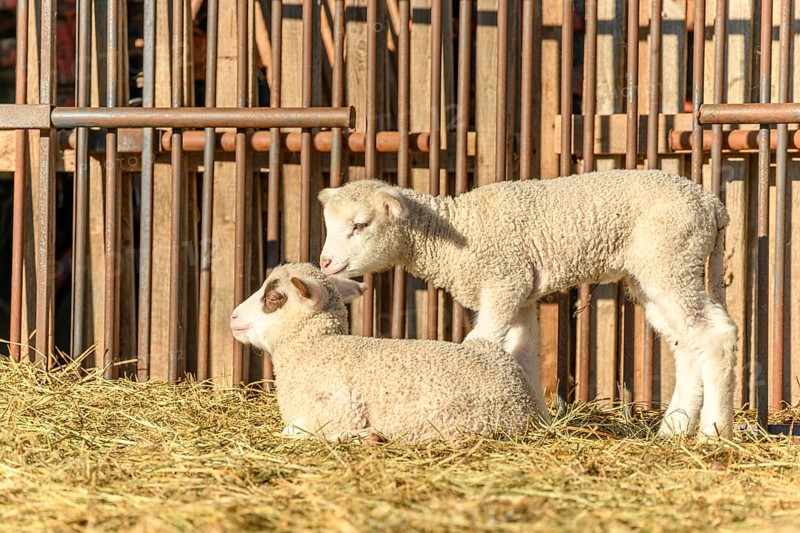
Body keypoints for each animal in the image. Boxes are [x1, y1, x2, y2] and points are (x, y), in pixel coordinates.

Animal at [229, 262, 541, 442]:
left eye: (273, 297)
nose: (233, 317)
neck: (315, 347)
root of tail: (526, 404)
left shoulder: (338, 410)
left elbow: (294, 431)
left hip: (439, 419)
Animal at [317, 169, 739, 439]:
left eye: (360, 225)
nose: (324, 262)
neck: (457, 233)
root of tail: (713, 204)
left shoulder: (505, 280)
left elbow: (481, 344)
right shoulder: (520, 293)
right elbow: (522, 355)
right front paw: (538, 419)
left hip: (671, 259)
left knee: (716, 335)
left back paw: (713, 432)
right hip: (653, 274)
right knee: (687, 344)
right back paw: (674, 429)